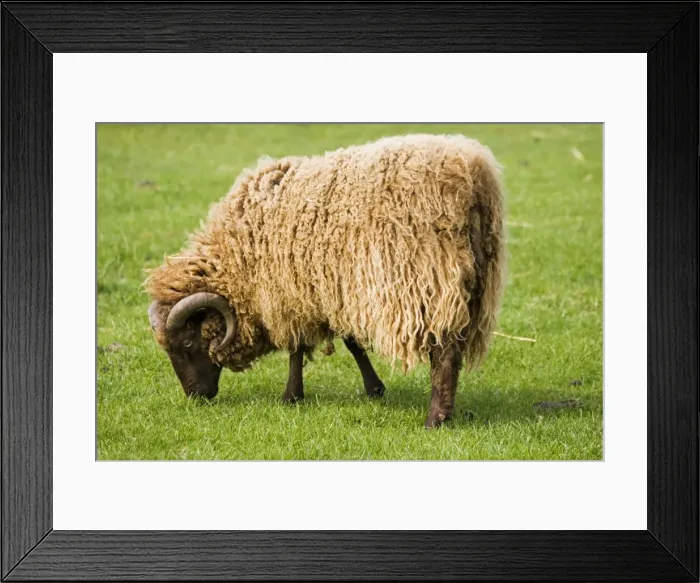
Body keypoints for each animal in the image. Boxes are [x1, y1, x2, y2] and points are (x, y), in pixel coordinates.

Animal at [145, 133, 506, 428]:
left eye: (188, 343)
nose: (196, 395)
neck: (239, 252)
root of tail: (471, 176)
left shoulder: (291, 292)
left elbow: (297, 347)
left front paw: (291, 396)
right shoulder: (329, 289)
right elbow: (351, 341)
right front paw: (374, 388)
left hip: (430, 282)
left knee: (444, 354)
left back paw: (435, 419)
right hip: (473, 286)